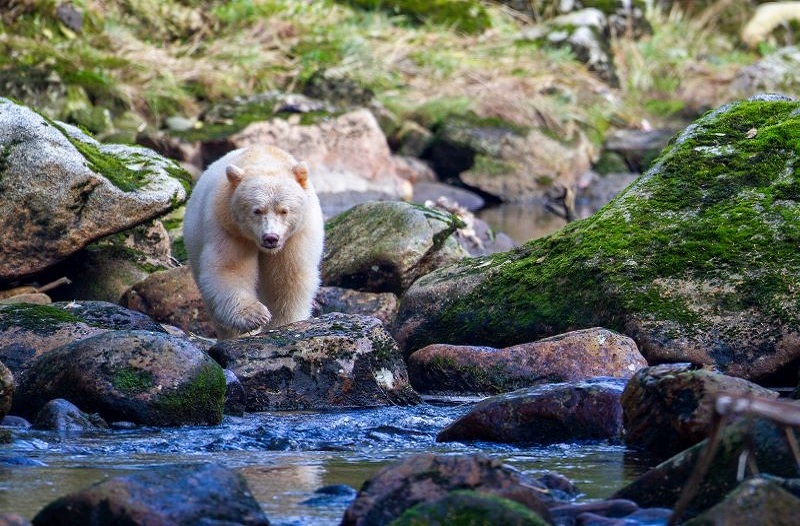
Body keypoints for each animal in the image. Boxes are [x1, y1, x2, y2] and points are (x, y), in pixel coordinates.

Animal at [183, 145, 324, 339]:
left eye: (284, 211)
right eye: (257, 210)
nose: (271, 238)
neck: (264, 157)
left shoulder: (297, 235)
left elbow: (288, 278)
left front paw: (283, 323)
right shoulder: (229, 228)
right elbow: (229, 269)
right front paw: (256, 316)